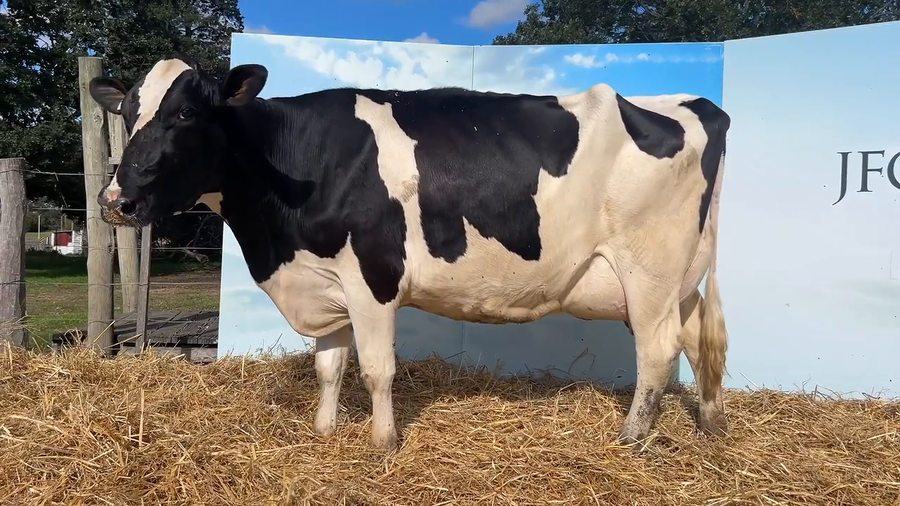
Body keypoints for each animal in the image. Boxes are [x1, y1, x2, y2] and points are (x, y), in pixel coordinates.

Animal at [88, 54, 730, 452]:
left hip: (648, 270)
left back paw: (632, 439)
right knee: (696, 337)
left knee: (657, 350)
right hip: (682, 278)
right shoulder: (325, 282)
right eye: (126, 113)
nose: (116, 200)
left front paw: (383, 443)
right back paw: (711, 423)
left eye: (185, 112)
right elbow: (329, 367)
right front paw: (324, 433)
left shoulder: (371, 276)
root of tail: (697, 104)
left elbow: (376, 369)